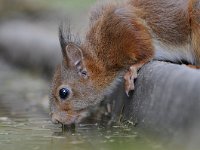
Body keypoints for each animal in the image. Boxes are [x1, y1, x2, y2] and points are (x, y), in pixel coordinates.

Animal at [49, 0, 200, 125]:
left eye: (63, 93)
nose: (55, 120)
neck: (101, 51)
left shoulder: (126, 27)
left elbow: (147, 51)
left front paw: (131, 71)